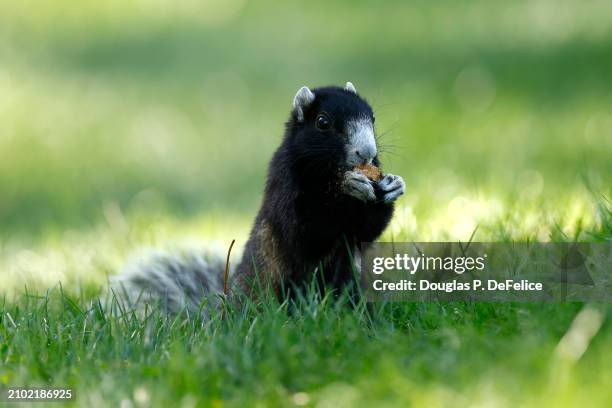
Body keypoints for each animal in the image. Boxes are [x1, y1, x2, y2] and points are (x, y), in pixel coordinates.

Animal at [112, 83, 404, 312]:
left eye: (372, 118)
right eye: (323, 122)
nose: (367, 153)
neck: (327, 173)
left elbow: (366, 230)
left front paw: (392, 186)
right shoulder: (283, 187)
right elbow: (304, 231)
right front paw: (349, 184)